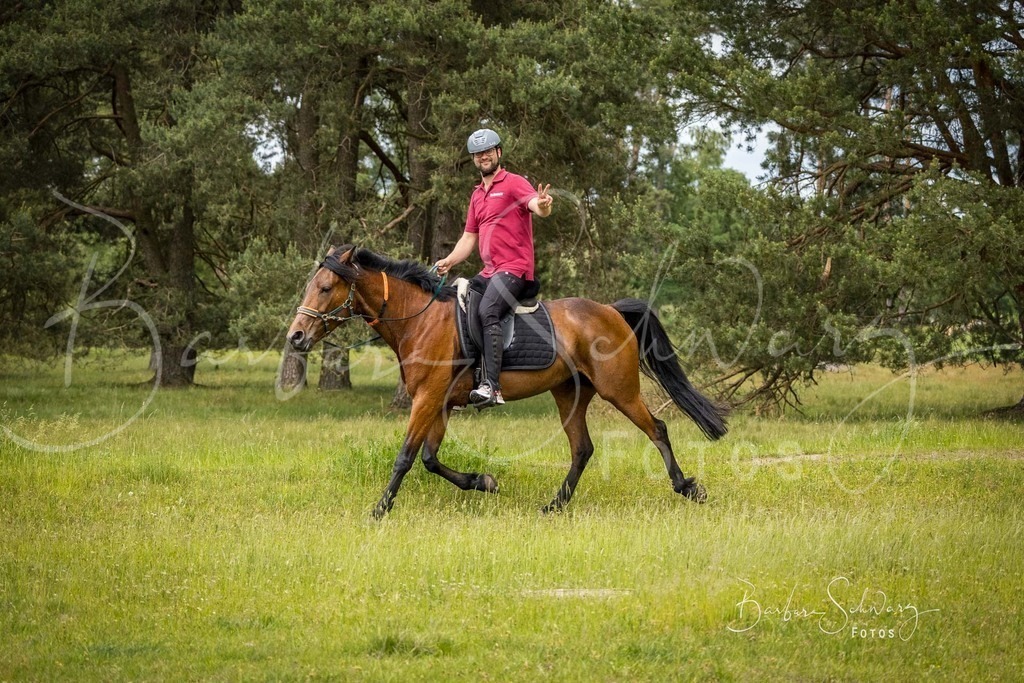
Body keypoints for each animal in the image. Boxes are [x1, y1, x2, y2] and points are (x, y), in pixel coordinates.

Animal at [287, 245, 727, 518]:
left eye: (325, 288)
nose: (296, 337)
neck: (420, 319)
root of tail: (611, 310)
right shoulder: (440, 403)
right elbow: (430, 459)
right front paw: (484, 481)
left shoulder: (427, 398)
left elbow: (406, 457)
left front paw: (379, 509)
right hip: (569, 394)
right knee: (582, 449)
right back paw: (554, 506)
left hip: (619, 391)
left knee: (658, 428)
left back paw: (688, 487)